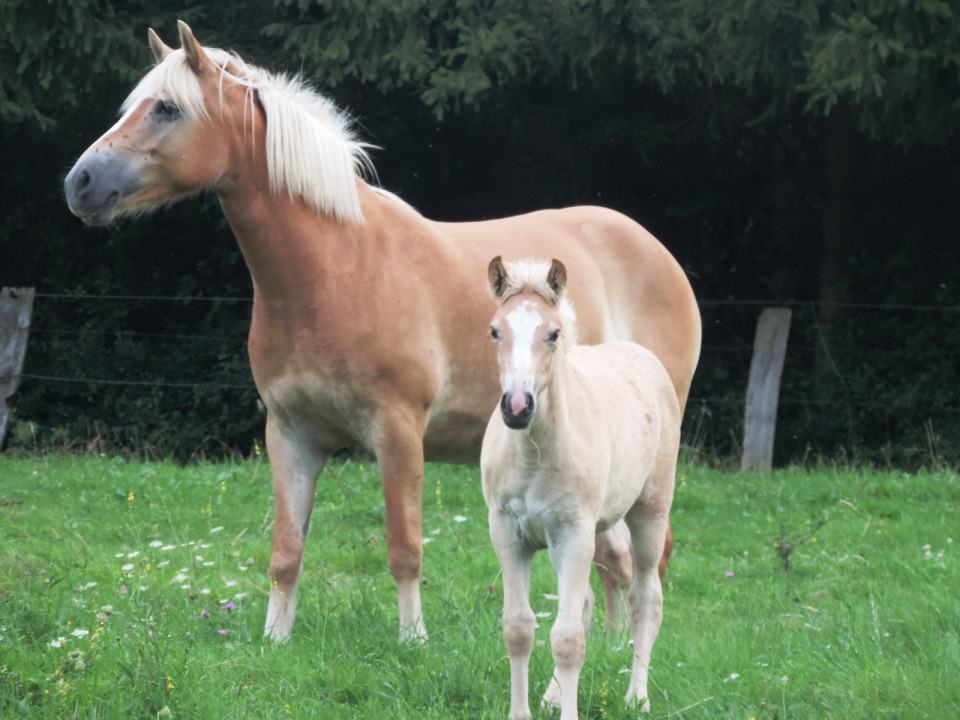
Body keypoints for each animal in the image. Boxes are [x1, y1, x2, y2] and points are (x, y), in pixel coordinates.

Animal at [63, 22, 700, 644]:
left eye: (167, 108)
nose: (80, 183)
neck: (334, 270)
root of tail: (658, 254)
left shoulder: (398, 433)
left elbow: (404, 547)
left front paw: (412, 640)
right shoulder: (290, 436)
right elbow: (286, 552)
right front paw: (275, 639)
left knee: (649, 559)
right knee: (612, 558)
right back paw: (611, 647)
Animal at [484, 256, 680, 716]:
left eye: (553, 333)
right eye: (495, 330)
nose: (517, 407)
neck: (535, 453)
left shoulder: (573, 533)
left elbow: (568, 639)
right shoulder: (507, 533)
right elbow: (518, 628)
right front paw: (522, 711)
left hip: (648, 512)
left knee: (646, 599)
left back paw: (637, 697)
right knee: (588, 601)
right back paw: (552, 695)